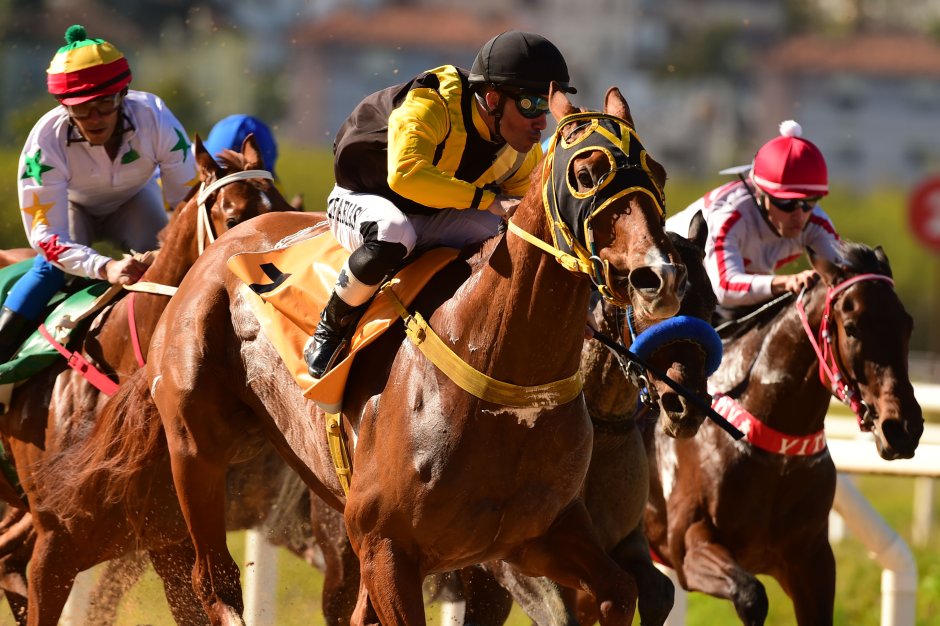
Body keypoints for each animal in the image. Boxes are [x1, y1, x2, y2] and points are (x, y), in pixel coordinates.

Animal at [146, 83, 687, 625]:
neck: (503, 378)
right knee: (212, 580)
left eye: (659, 174)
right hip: (196, 448)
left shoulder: (536, 536)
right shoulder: (387, 548)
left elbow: (621, 588)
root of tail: (217, 251)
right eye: (586, 172)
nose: (659, 277)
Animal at [643, 241, 923, 625]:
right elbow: (751, 594)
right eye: (852, 328)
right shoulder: (688, 545)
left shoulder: (811, 561)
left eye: (907, 324)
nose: (904, 428)